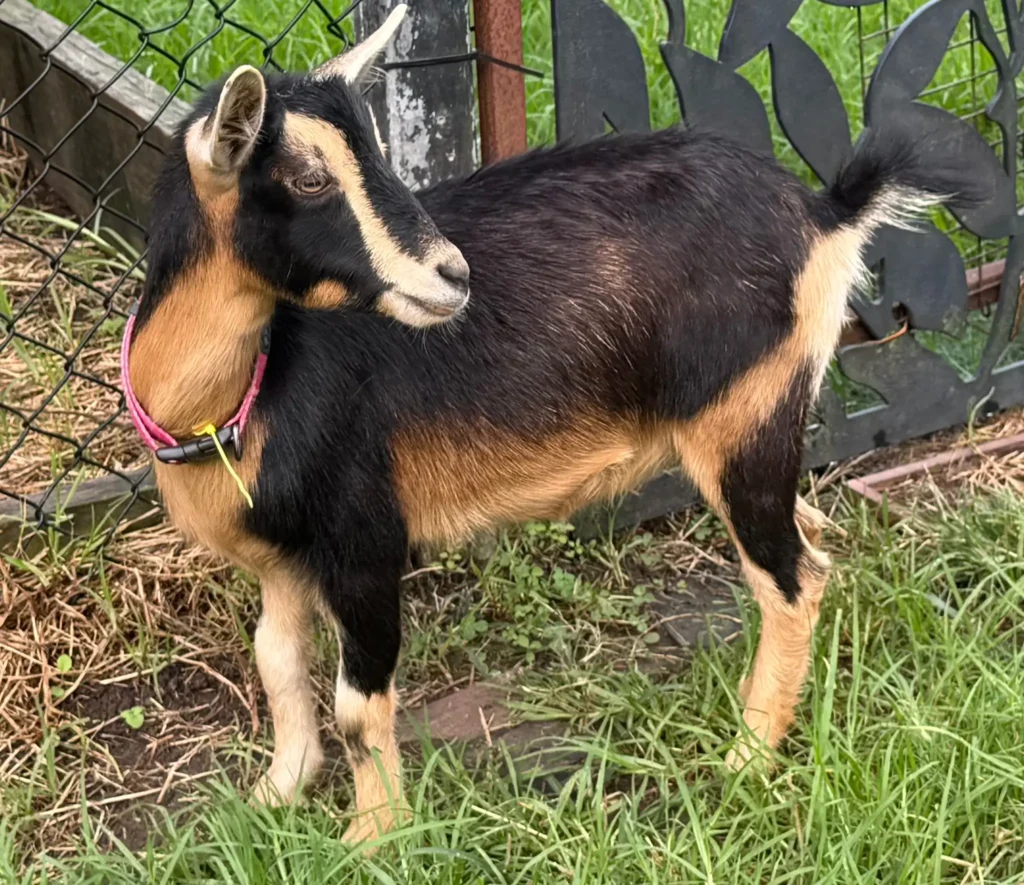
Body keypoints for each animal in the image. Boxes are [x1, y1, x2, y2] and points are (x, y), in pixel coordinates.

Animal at [123, 4, 973, 842]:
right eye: (309, 177)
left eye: (377, 155)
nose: (452, 275)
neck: (244, 395)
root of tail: (822, 213)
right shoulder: (281, 558)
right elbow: (274, 657)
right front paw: (276, 792)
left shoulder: (363, 537)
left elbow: (358, 706)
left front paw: (374, 837)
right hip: (762, 417)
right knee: (809, 541)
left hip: (744, 417)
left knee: (790, 579)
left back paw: (748, 754)